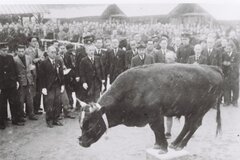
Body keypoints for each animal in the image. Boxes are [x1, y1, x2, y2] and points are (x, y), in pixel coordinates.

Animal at [78, 63, 222, 153]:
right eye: (81, 124)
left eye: (91, 124)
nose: (81, 142)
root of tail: (213, 68)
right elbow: (156, 131)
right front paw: (158, 145)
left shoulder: (155, 115)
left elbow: (158, 129)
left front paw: (163, 148)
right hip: (190, 111)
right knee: (188, 125)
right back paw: (175, 143)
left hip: (200, 110)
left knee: (194, 125)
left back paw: (180, 145)